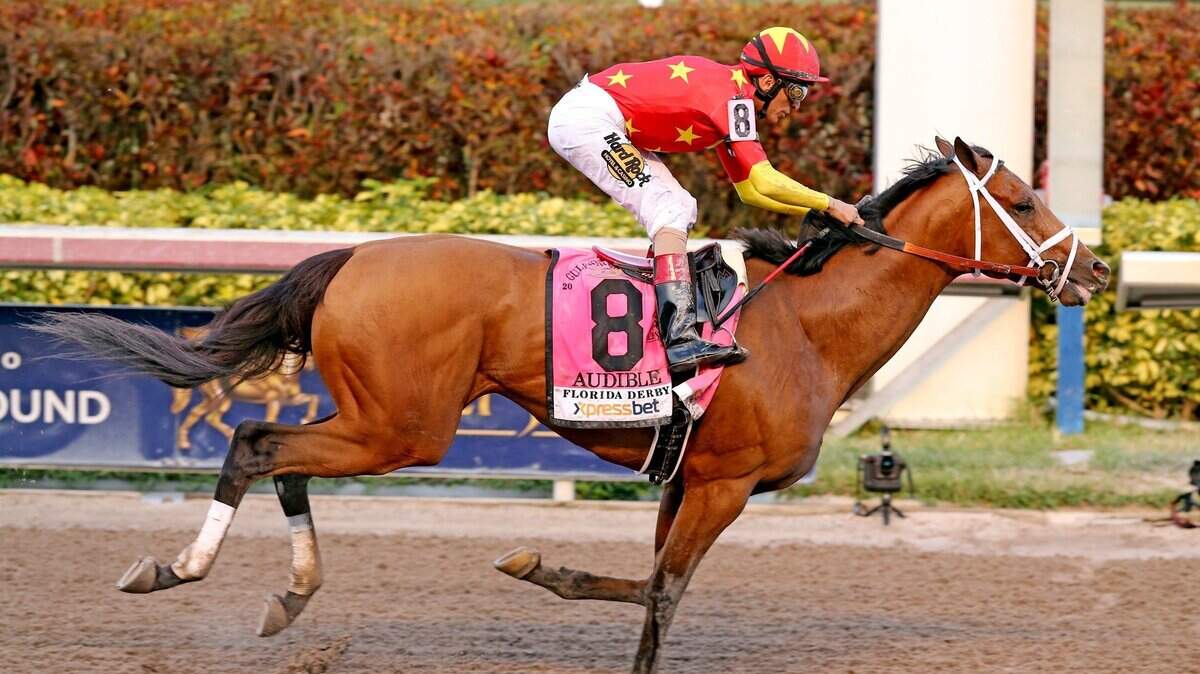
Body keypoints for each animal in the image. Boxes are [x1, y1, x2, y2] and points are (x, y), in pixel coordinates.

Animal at [32, 137, 1110, 673]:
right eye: (1025, 198)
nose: (1095, 268)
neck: (805, 324)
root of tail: (352, 257)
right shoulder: (724, 482)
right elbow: (662, 594)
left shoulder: (686, 478)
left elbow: (650, 590)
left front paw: (542, 566)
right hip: (404, 427)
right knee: (258, 440)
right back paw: (178, 569)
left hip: (380, 420)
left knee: (277, 451)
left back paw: (286, 594)